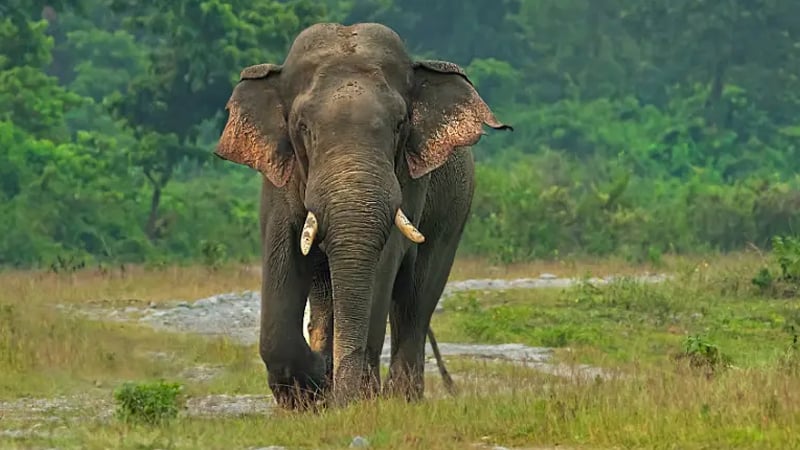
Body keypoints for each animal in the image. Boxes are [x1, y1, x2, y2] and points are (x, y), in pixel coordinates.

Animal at [214, 22, 512, 410]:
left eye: (400, 124)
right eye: (302, 127)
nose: (341, 396)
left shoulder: (408, 181)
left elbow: (384, 261)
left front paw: (353, 397)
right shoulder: (279, 177)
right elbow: (283, 254)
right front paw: (310, 394)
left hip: (455, 208)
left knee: (416, 299)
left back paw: (401, 399)